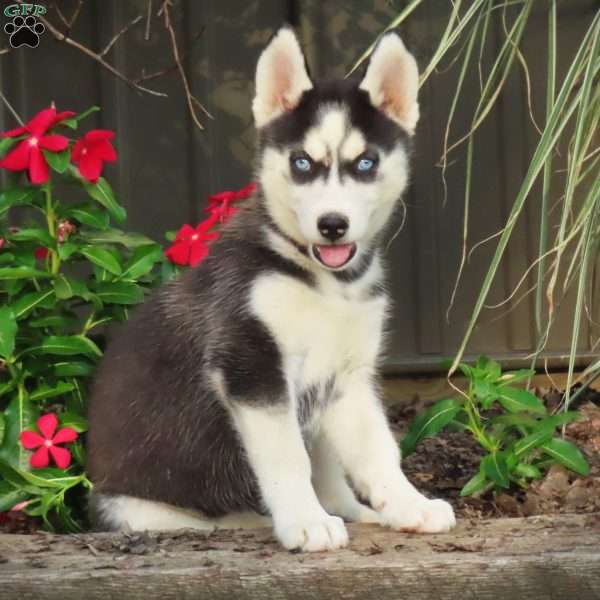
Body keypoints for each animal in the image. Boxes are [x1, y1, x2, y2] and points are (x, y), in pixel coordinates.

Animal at [86, 29, 454, 552]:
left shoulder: (347, 377)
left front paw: (409, 505)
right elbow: (287, 457)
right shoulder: (252, 366)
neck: (325, 283)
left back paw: (354, 511)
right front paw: (305, 521)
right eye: (302, 163)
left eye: (365, 163)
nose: (333, 225)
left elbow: (379, 451)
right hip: (143, 510)